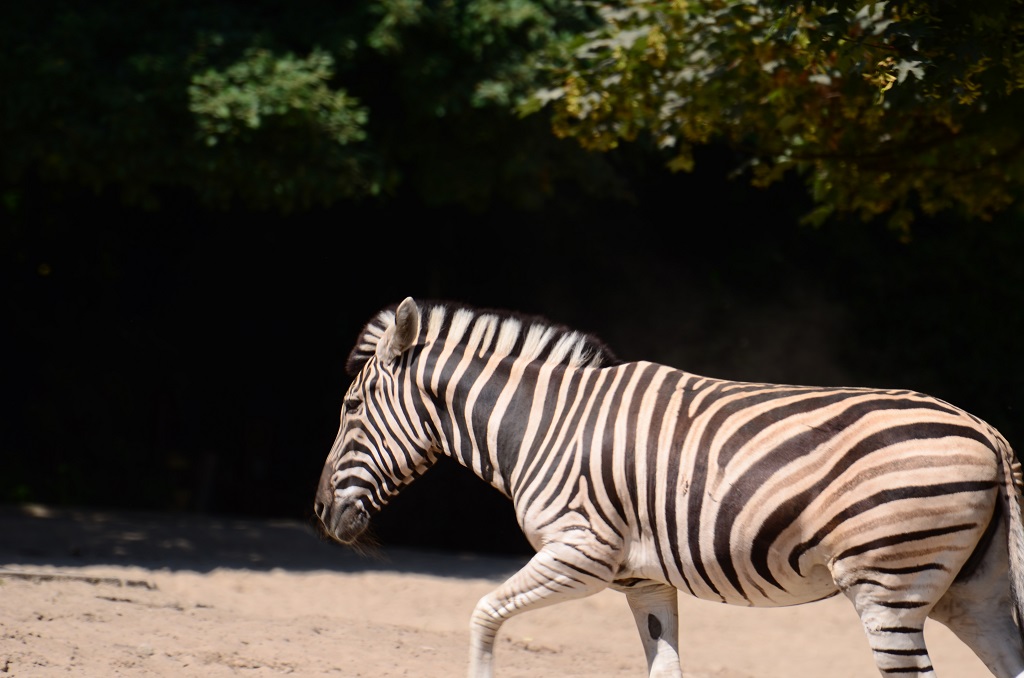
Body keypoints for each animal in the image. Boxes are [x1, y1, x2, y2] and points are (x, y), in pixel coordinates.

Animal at [314, 296, 1024, 677]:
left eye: (349, 408)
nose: (320, 512)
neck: (544, 424)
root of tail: (985, 429)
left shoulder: (581, 553)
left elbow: (484, 612)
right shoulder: (642, 579)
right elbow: (665, 665)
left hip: (889, 585)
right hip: (972, 593)